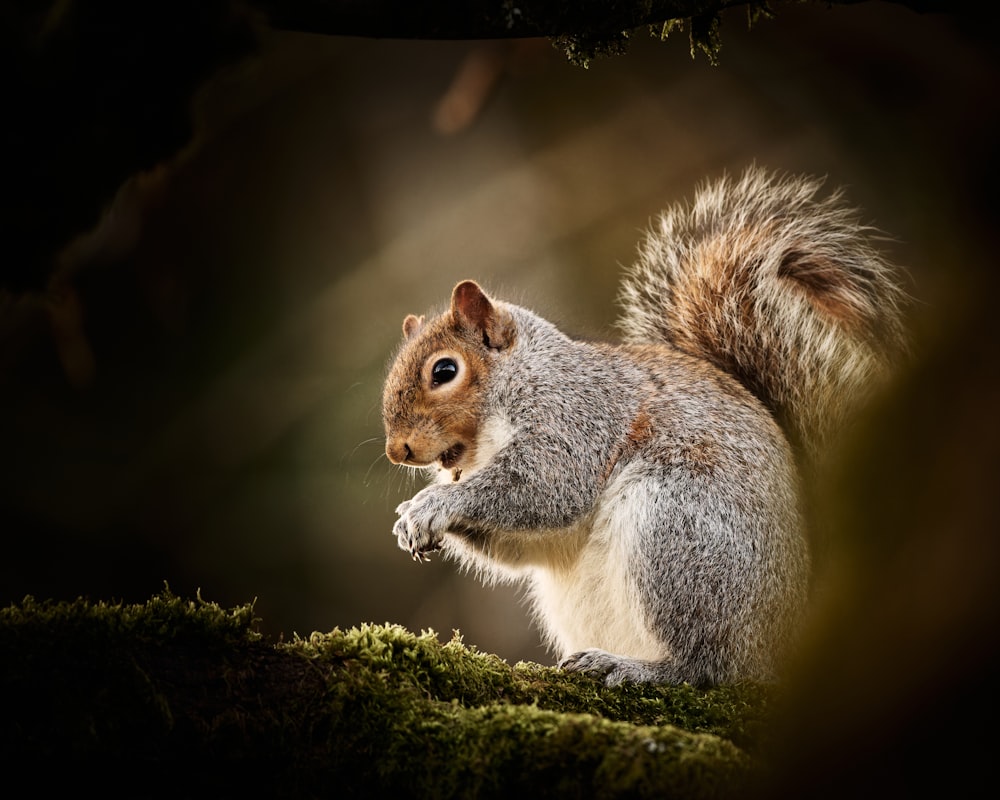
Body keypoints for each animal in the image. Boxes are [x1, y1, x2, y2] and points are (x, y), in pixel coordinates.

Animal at [380, 166, 908, 684]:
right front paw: (411, 518)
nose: (396, 450)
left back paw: (637, 668)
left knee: (709, 666)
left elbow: (544, 487)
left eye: (444, 371)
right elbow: (519, 543)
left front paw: (434, 503)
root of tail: (793, 633)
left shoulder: (576, 416)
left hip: (678, 532)